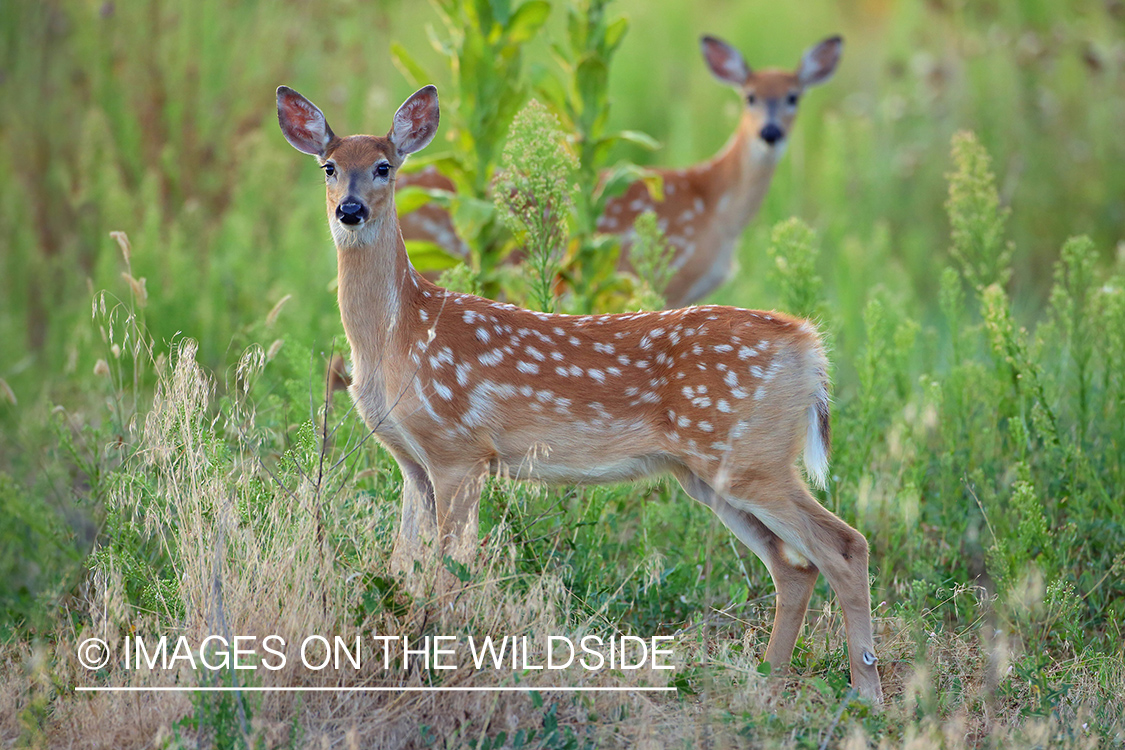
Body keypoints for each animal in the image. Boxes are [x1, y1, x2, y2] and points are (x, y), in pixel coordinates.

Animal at [276, 84, 883, 705]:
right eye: (329, 167)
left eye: (384, 167)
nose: (351, 210)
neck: (397, 338)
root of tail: (808, 345)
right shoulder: (411, 461)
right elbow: (404, 565)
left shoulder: (459, 451)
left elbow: (448, 569)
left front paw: (437, 662)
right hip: (708, 473)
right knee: (794, 566)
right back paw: (767, 682)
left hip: (750, 459)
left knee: (844, 546)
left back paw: (866, 692)